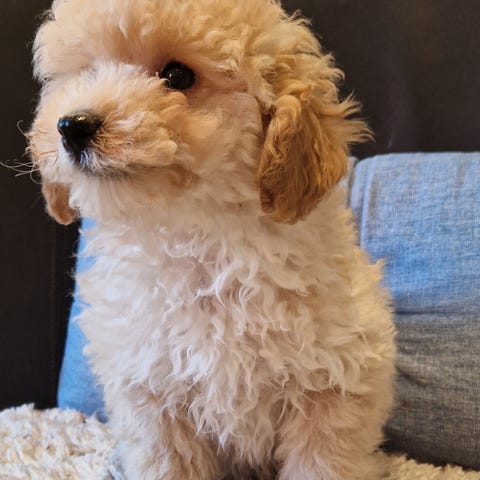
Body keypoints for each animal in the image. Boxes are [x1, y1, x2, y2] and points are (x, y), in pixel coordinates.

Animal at [29, 0, 396, 478]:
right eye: (87, 71)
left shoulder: (332, 387)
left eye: (178, 76)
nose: (73, 126)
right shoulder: (152, 399)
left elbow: (321, 461)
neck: (198, 240)